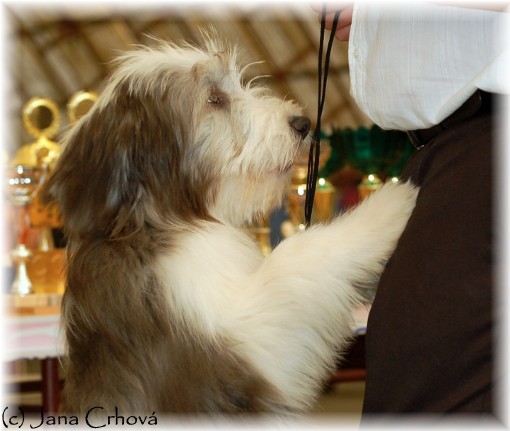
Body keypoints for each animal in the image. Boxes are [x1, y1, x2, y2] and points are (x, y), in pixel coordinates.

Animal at [42, 36, 418, 416]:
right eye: (214, 99)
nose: (301, 122)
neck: (162, 221)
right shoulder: (230, 357)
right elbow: (293, 255)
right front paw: (386, 206)